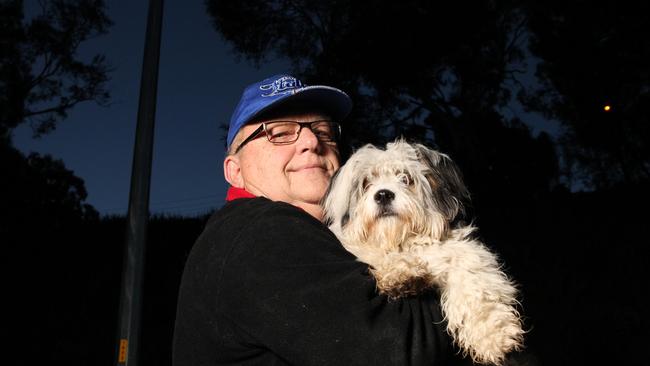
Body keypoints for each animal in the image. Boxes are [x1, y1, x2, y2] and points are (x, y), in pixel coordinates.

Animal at [322, 139, 524, 364]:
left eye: (406, 178)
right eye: (367, 182)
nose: (383, 194)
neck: (404, 242)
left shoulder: (462, 253)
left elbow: (474, 285)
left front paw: (491, 334)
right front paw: (400, 274)